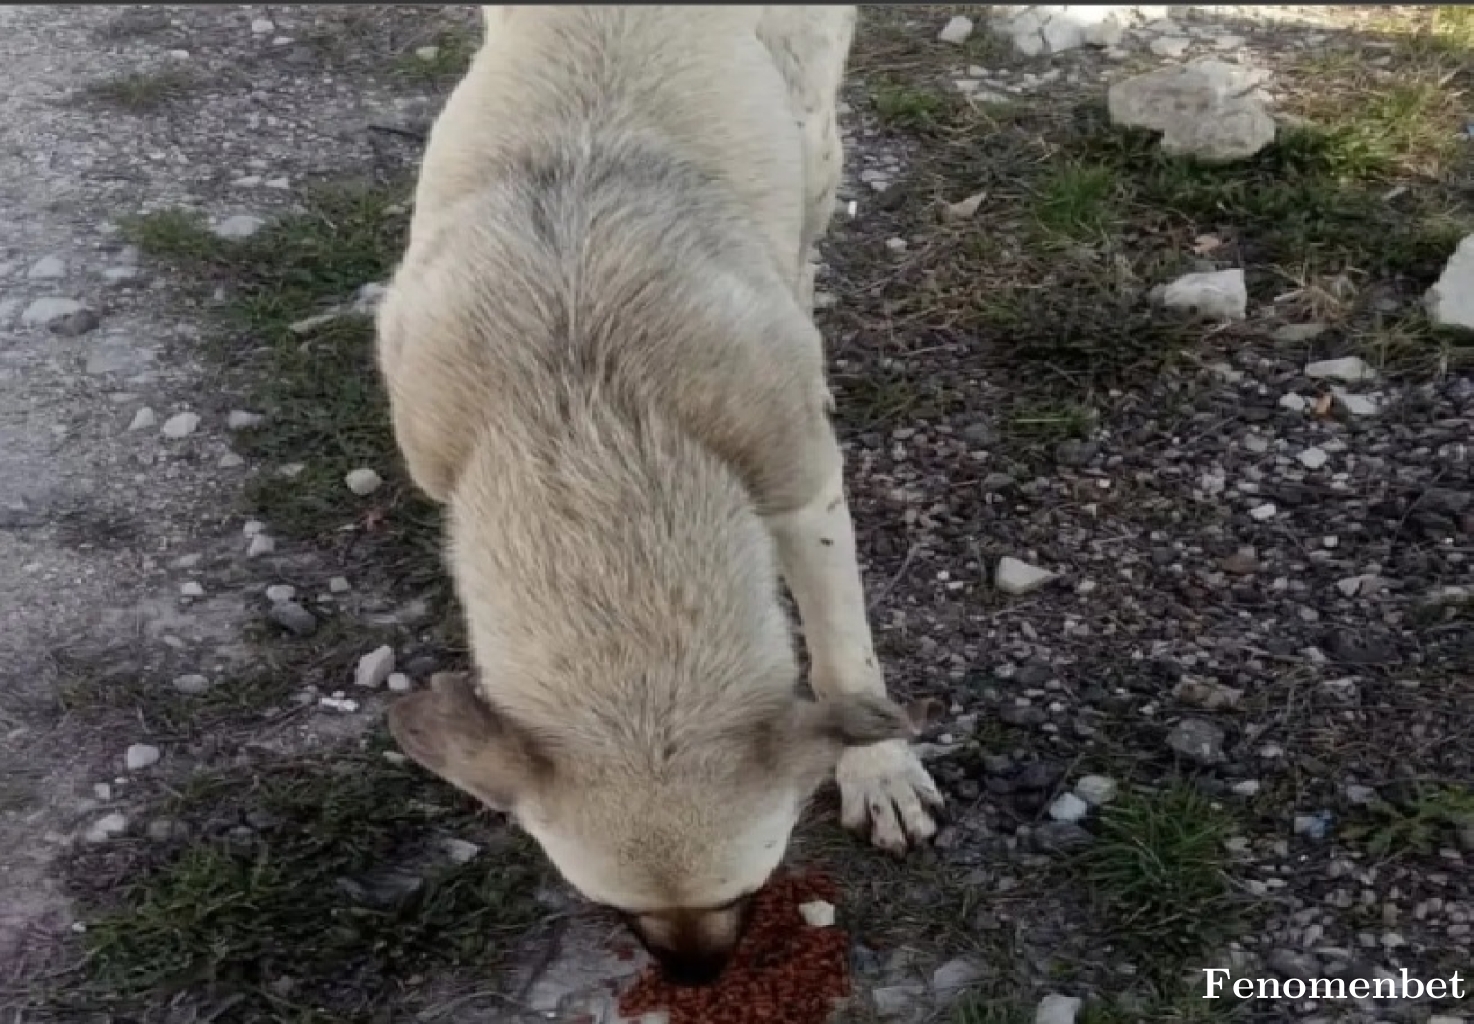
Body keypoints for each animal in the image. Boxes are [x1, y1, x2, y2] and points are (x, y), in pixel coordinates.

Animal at [374, 4, 937, 990]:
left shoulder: (804, 493)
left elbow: (845, 658)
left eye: (751, 886)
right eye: (609, 905)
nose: (697, 981)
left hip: (813, 135)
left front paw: (879, 768)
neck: (584, 428)